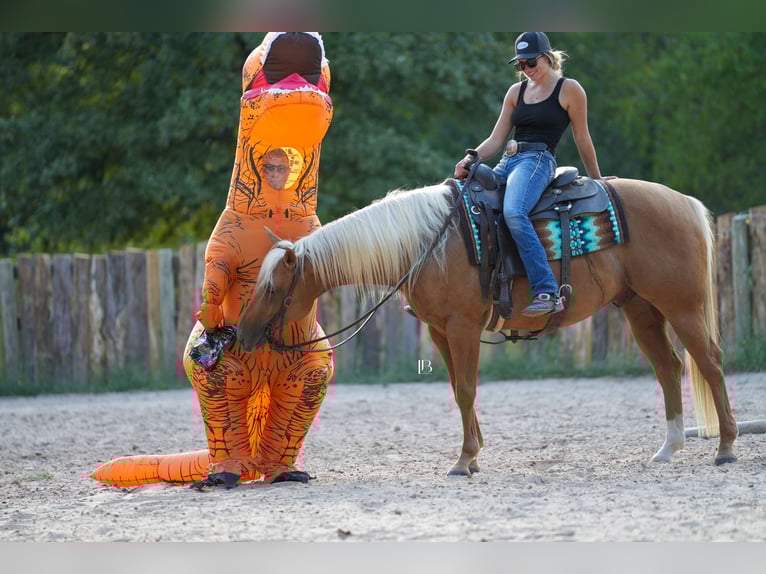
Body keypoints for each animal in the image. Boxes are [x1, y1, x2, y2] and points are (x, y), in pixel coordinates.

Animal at [238, 178, 738, 476]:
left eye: (272, 288)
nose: (242, 335)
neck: (426, 243)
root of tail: (685, 203)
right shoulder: (440, 331)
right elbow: (459, 389)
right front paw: (473, 453)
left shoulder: (461, 326)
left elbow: (465, 390)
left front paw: (465, 460)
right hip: (640, 309)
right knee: (669, 368)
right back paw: (669, 447)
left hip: (682, 306)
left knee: (710, 364)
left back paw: (726, 447)